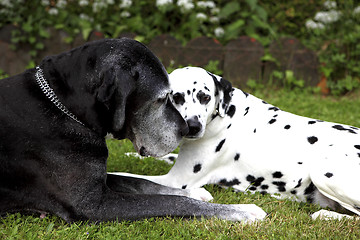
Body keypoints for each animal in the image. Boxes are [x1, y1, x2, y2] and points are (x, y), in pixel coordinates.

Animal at [0, 38, 264, 222]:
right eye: (162, 98)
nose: (187, 129)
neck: (66, 107)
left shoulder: (101, 182)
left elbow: (143, 183)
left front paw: (196, 192)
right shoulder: (92, 204)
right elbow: (172, 203)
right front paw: (242, 211)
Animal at [114, 66, 360, 220]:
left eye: (205, 97)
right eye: (176, 97)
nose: (193, 126)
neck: (225, 114)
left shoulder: (177, 180)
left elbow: (129, 177)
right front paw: (129, 155)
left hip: (324, 170)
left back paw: (326, 215)